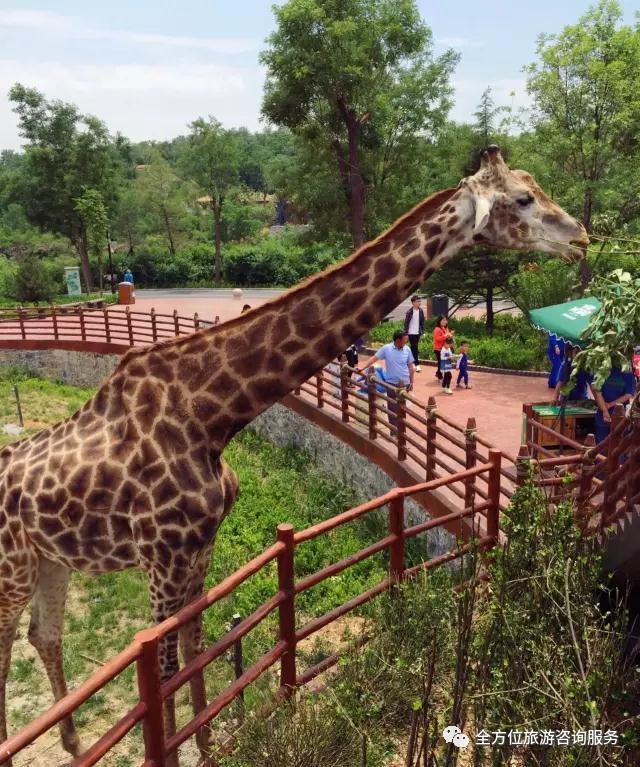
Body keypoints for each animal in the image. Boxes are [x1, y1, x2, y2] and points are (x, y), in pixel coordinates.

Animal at [0, 147, 592, 764]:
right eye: (522, 198)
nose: (581, 237)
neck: (210, 414)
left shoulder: (198, 549)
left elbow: (194, 646)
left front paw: (208, 745)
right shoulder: (161, 554)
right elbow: (161, 672)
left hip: (52, 559)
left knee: (43, 633)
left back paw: (72, 741)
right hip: (11, 565)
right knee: (8, 644)